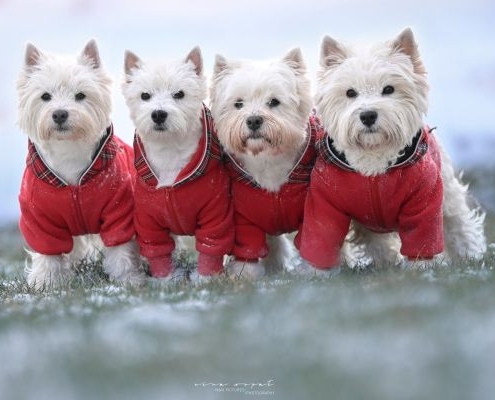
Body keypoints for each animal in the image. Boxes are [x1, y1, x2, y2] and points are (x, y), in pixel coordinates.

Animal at [15, 39, 146, 288]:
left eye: (80, 95)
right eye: (45, 96)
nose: (59, 114)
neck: (69, 153)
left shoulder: (119, 211)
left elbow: (120, 249)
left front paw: (127, 280)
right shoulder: (40, 220)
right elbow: (49, 252)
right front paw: (45, 283)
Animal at [122, 46, 234, 282]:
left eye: (179, 94)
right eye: (145, 95)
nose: (158, 114)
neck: (170, 151)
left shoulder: (216, 213)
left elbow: (211, 245)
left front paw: (206, 279)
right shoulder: (148, 221)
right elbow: (157, 250)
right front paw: (165, 280)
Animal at [300, 28, 486, 270]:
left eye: (389, 89)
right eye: (350, 93)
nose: (368, 115)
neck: (374, 167)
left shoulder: (424, 201)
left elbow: (422, 237)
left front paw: (420, 269)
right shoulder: (325, 203)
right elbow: (321, 236)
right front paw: (320, 271)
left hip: (448, 194)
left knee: (459, 226)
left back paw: (470, 257)